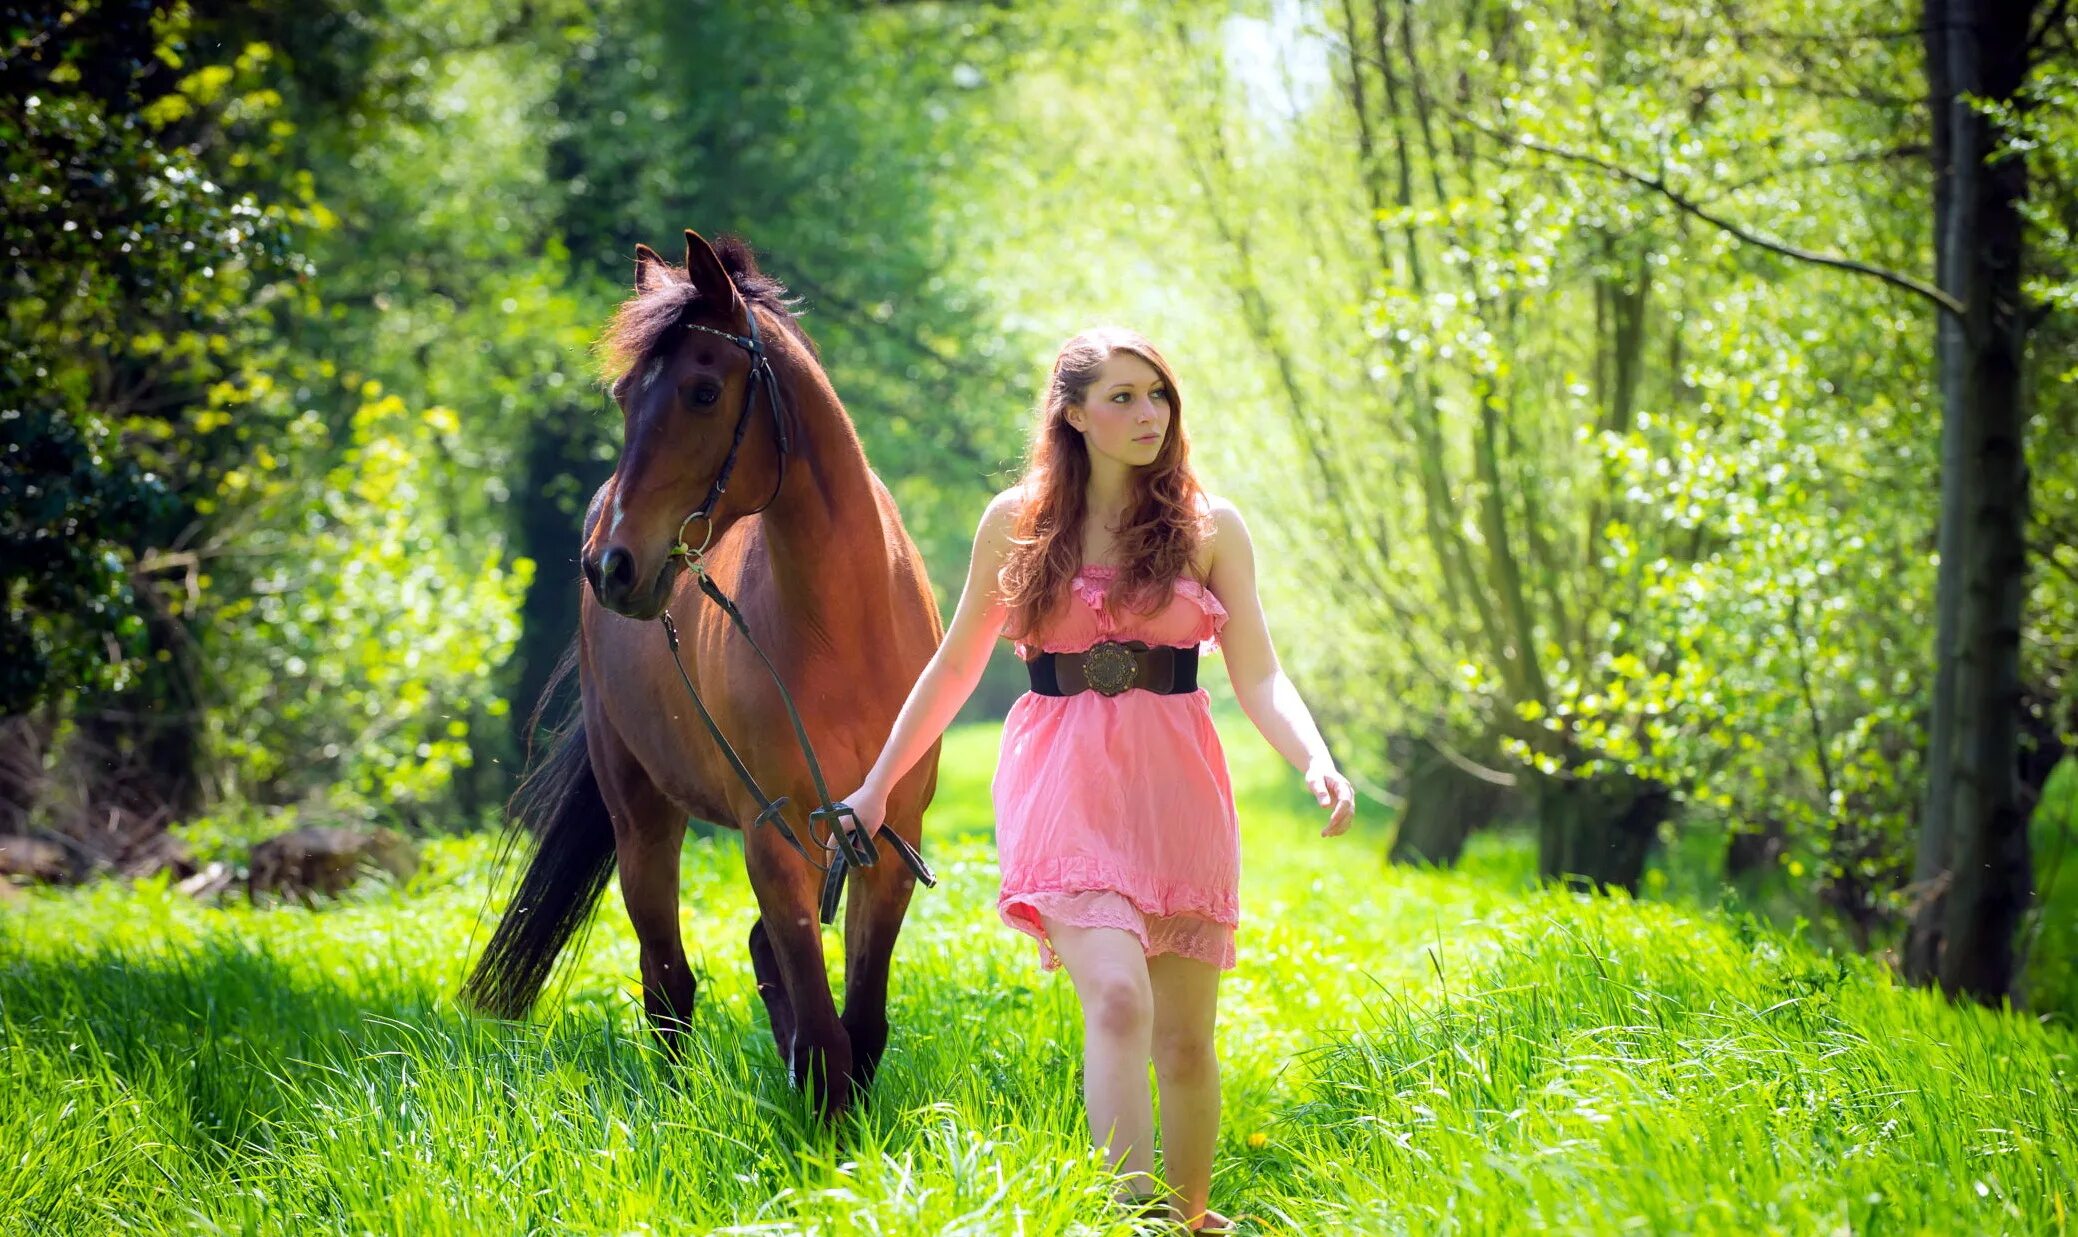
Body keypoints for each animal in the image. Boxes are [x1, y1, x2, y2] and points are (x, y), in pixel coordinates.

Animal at [467, 227, 947, 1114]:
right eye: (623, 395)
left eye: (701, 391)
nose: (611, 566)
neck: (845, 627)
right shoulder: (772, 831)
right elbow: (825, 1031)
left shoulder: (889, 834)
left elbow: (860, 1024)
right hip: (642, 819)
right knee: (668, 981)